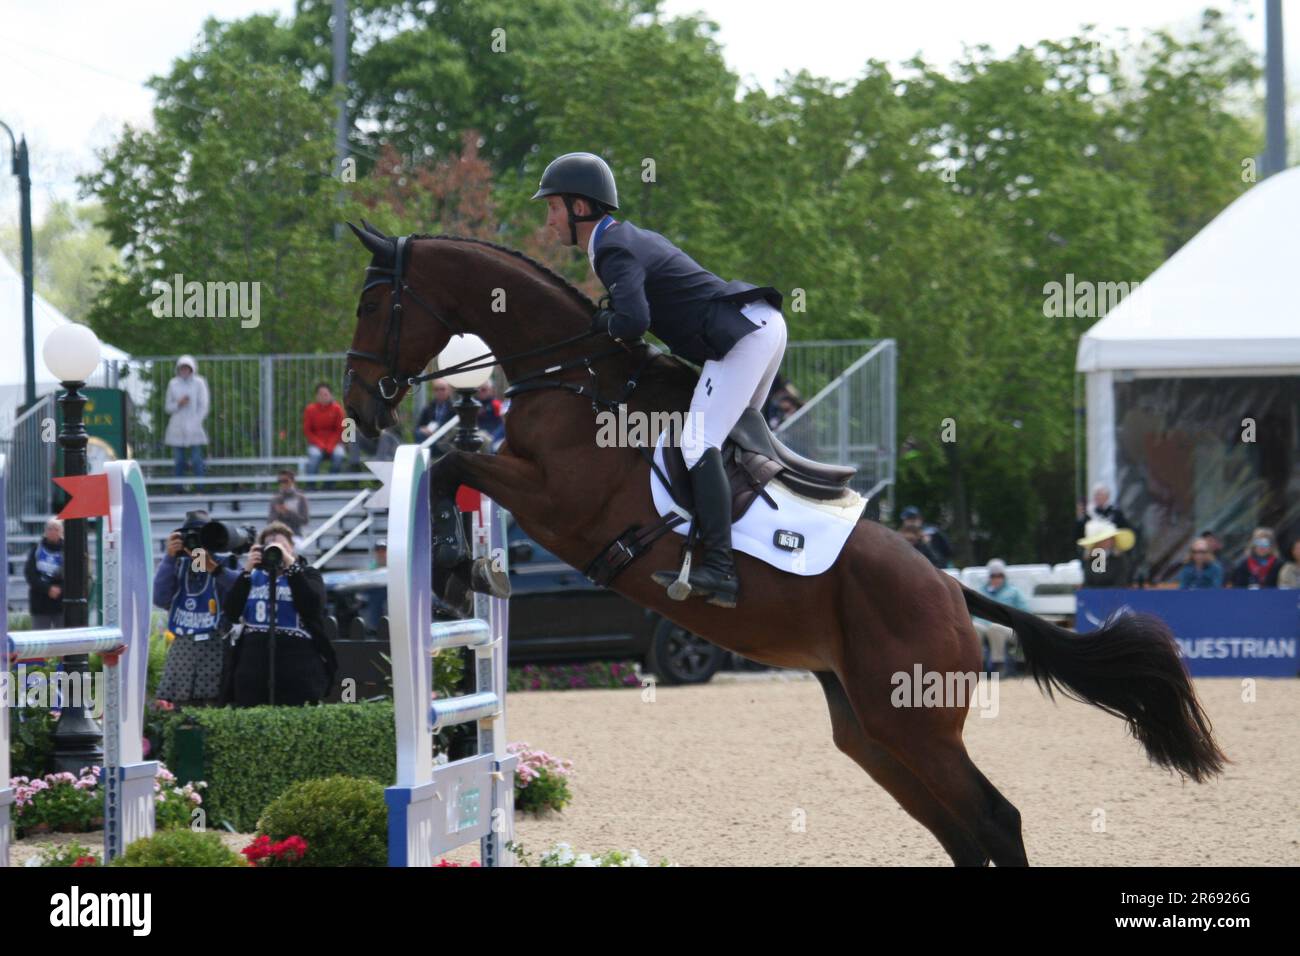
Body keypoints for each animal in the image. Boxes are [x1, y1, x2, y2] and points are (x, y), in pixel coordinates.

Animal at [340, 223, 1222, 868]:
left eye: (372, 304)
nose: (360, 410)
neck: (574, 376)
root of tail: (950, 586)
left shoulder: (559, 503)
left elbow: (455, 463)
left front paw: (455, 564)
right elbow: (457, 467)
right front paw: (463, 565)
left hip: (914, 724)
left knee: (995, 821)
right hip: (872, 731)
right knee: (963, 831)